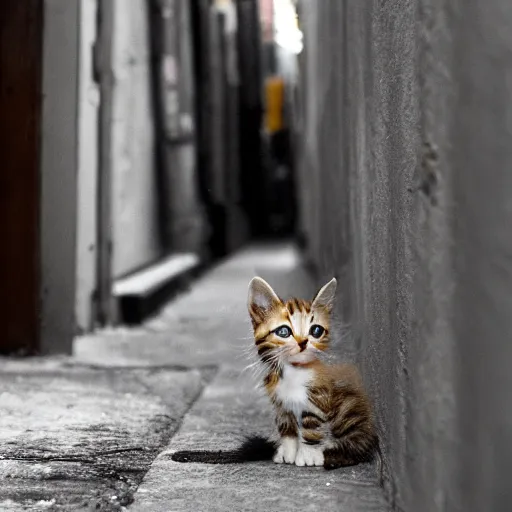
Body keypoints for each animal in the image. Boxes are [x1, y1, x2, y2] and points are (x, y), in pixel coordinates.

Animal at [250, 276, 378, 468]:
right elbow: (286, 426)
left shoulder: (319, 397)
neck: (294, 372)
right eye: (283, 331)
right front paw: (287, 452)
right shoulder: (280, 403)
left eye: (316, 330)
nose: (303, 342)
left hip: (349, 408)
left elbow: (311, 425)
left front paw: (308, 456)